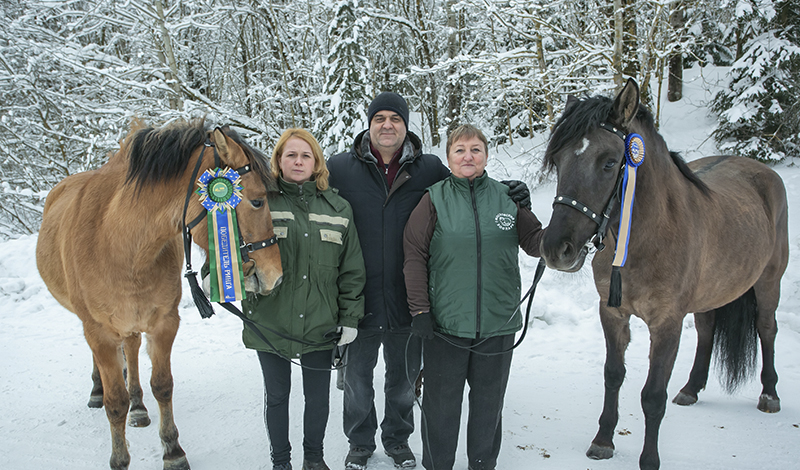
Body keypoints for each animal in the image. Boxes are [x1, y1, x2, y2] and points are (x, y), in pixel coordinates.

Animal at [36, 119, 282, 468]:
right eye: (258, 201)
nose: (275, 274)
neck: (120, 245)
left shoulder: (164, 322)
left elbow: (162, 386)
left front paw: (172, 450)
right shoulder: (98, 331)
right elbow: (115, 402)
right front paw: (119, 458)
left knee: (132, 349)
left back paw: (138, 405)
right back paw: (98, 390)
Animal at [536, 79, 788, 468]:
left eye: (610, 163)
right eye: (559, 159)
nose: (555, 248)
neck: (647, 238)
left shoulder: (667, 323)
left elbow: (653, 395)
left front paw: (649, 459)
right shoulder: (612, 313)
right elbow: (613, 375)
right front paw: (603, 440)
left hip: (768, 282)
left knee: (766, 328)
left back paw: (770, 394)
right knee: (706, 330)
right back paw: (691, 388)